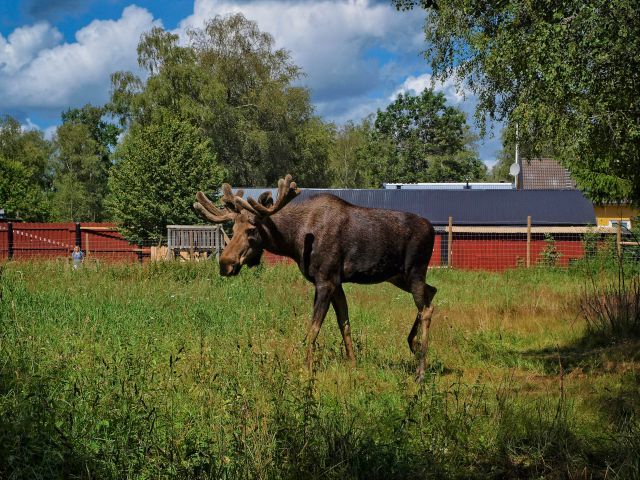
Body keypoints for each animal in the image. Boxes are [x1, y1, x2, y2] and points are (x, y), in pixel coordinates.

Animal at [192, 174, 438, 380]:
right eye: (233, 228)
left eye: (252, 230)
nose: (225, 263)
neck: (293, 241)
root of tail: (433, 230)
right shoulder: (336, 282)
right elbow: (344, 323)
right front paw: (352, 364)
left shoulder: (325, 281)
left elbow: (313, 328)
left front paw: (306, 368)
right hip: (397, 276)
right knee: (432, 291)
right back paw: (413, 344)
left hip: (415, 269)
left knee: (426, 308)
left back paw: (420, 371)